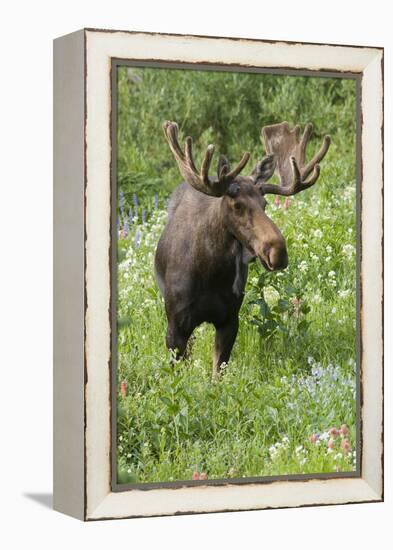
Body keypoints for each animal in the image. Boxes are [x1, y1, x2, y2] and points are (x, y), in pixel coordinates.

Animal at [155, 120, 330, 380]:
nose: (278, 251)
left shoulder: (230, 319)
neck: (211, 273)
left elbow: (218, 374)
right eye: (236, 205)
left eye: (264, 203)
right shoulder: (175, 325)